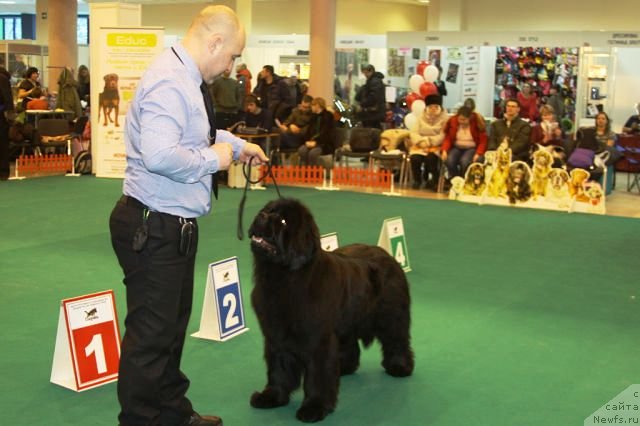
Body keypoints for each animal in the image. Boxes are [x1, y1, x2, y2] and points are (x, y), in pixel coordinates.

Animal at [248, 197, 412, 422]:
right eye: (266, 210)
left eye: (282, 221)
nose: (261, 215)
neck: (283, 276)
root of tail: (386, 254)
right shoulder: (276, 336)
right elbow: (278, 369)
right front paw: (272, 397)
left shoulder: (318, 340)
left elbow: (317, 375)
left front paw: (314, 408)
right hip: (346, 321)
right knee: (350, 345)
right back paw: (344, 367)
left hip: (391, 315)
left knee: (397, 339)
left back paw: (400, 366)